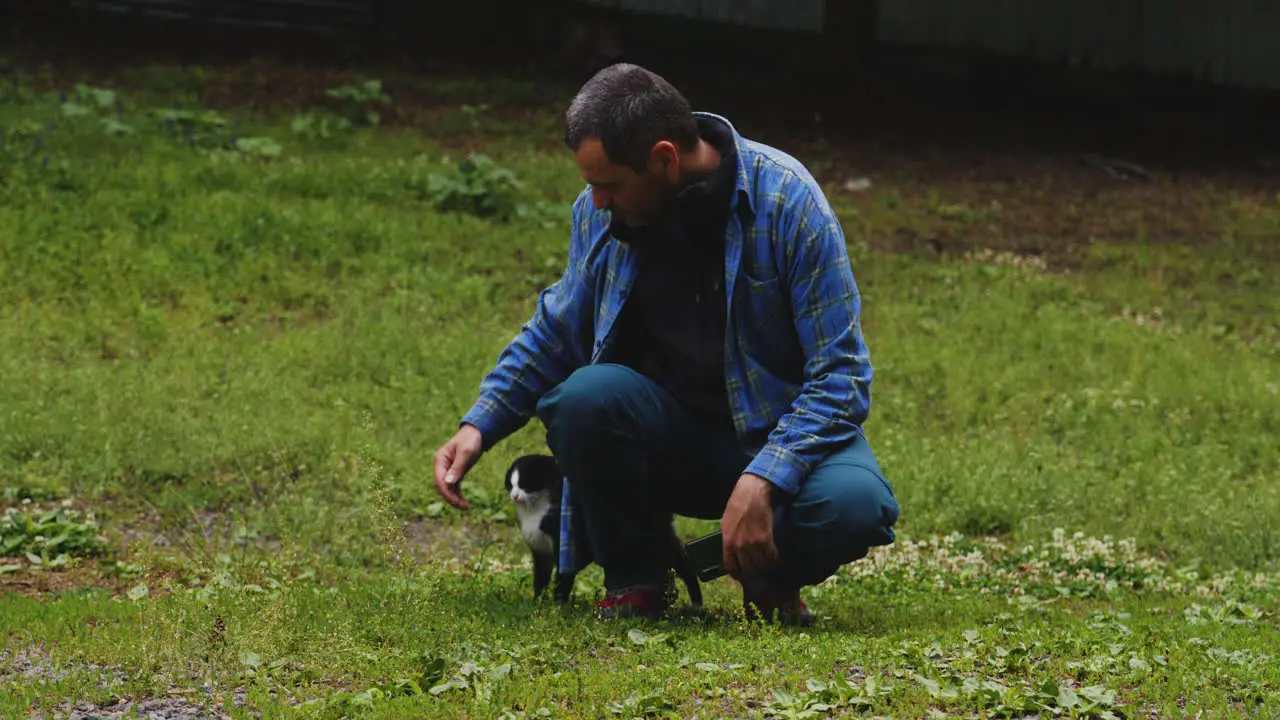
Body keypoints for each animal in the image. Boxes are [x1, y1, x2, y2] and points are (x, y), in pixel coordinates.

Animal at [501, 453, 701, 604]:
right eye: (511, 485)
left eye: (527, 484)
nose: (515, 495)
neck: (534, 512)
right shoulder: (541, 552)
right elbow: (540, 580)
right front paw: (538, 602)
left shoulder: (565, 547)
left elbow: (562, 581)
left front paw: (558, 606)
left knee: (683, 564)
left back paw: (695, 603)